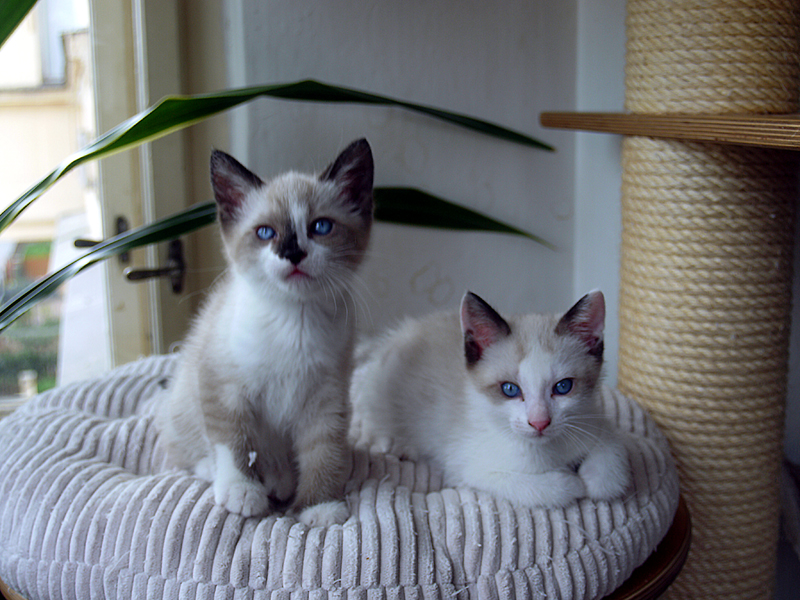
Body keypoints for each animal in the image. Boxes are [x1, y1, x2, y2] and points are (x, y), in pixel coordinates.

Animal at [157, 138, 374, 526]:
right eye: (265, 233)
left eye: (320, 227)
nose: (293, 253)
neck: (294, 320)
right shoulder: (222, 386)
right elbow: (233, 442)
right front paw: (242, 490)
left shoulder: (327, 399)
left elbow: (325, 454)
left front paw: (319, 507)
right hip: (183, 399)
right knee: (184, 451)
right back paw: (238, 475)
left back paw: (282, 478)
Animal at [349, 290, 631, 508]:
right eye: (510, 390)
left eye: (563, 387)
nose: (539, 423)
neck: (549, 450)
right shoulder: (472, 468)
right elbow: (540, 488)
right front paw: (572, 482)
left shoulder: (592, 420)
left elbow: (612, 458)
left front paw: (593, 478)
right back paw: (394, 444)